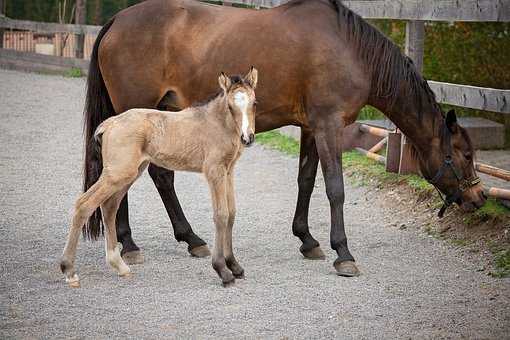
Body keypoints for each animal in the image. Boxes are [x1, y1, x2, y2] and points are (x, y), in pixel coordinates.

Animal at [60, 67, 258, 286]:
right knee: (84, 204)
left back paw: (119, 266)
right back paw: (69, 271)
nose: (247, 138)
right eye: (231, 106)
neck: (216, 123)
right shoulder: (214, 172)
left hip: (129, 173)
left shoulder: (228, 172)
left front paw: (235, 266)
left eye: (254, 103)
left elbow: (231, 214)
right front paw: (223, 270)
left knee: (109, 207)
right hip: (118, 173)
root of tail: (109, 124)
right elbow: (221, 215)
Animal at [83, 0, 486, 278]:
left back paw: (191, 240)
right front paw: (344, 254)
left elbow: (306, 180)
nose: (479, 197)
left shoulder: (311, 127)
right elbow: (335, 189)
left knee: (159, 176)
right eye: (465, 154)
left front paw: (307, 240)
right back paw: (130, 244)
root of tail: (117, 20)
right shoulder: (329, 126)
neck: (349, 49)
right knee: (125, 183)